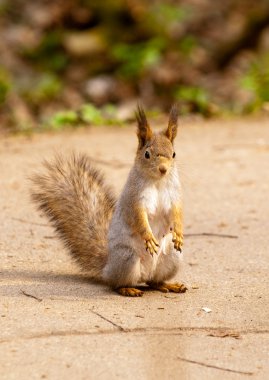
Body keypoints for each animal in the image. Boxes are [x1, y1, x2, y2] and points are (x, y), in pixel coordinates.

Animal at [30, 104, 186, 296]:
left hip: (172, 256)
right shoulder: (133, 198)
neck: (158, 181)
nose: (163, 169)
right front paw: (149, 237)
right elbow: (139, 217)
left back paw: (168, 285)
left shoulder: (174, 195)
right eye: (147, 154)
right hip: (127, 258)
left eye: (174, 153)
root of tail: (107, 268)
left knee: (153, 282)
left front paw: (179, 232)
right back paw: (128, 289)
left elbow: (177, 212)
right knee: (116, 284)